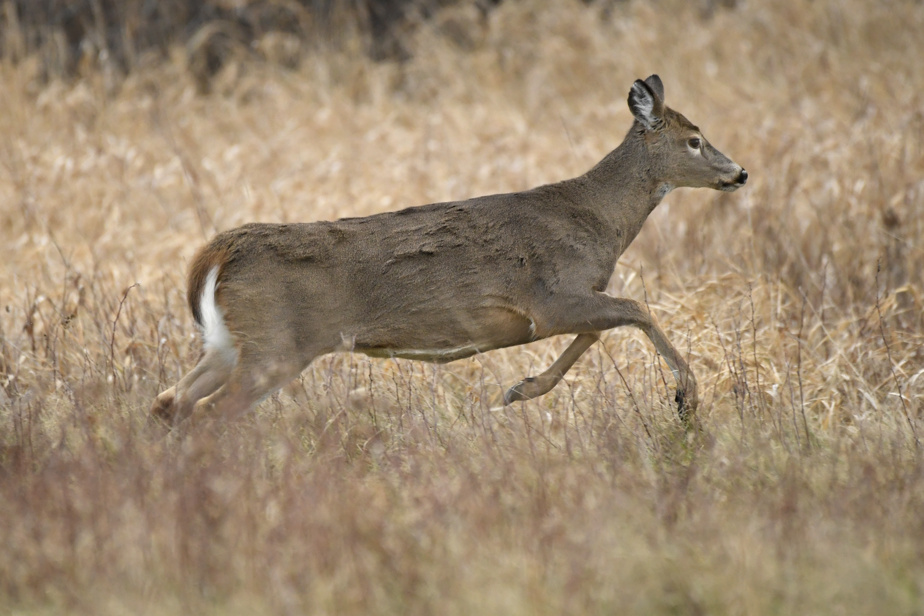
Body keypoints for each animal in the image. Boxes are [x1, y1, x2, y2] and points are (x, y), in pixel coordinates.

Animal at [150, 73, 744, 428]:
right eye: (694, 140)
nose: (739, 172)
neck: (600, 220)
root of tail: (217, 253)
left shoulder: (567, 301)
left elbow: (599, 330)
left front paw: (521, 389)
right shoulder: (551, 295)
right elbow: (635, 309)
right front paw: (687, 399)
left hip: (230, 342)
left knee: (169, 401)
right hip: (277, 344)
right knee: (207, 412)